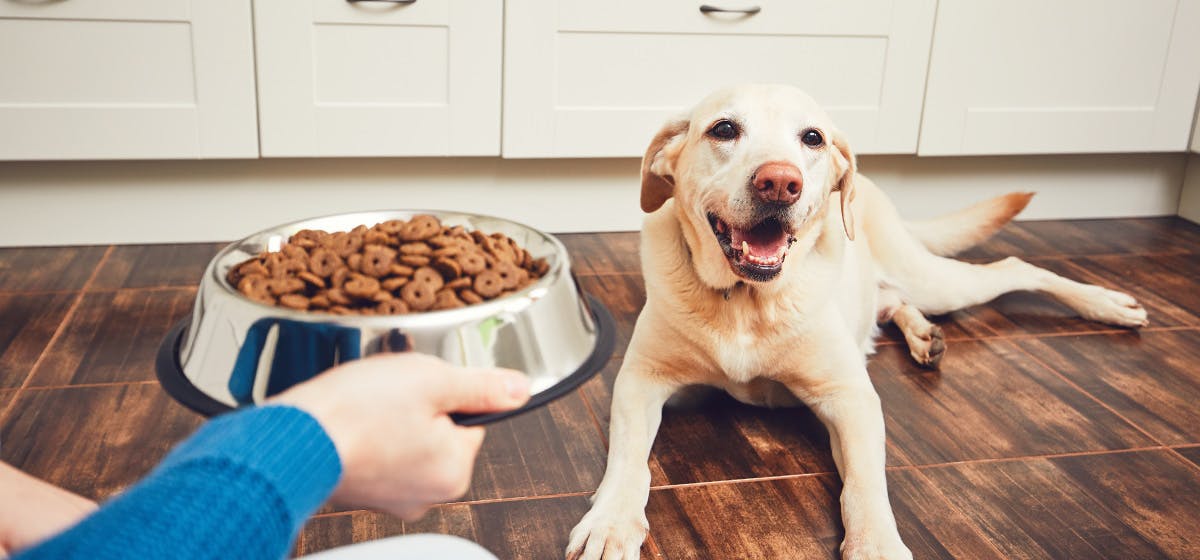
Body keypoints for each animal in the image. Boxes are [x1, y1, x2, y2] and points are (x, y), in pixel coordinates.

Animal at [566, 83, 1147, 560]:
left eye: (813, 138)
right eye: (724, 129)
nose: (780, 182)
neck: (747, 301)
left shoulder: (850, 398)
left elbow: (865, 483)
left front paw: (877, 546)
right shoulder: (641, 381)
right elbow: (629, 461)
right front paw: (611, 523)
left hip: (935, 279)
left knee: (1012, 267)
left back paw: (1108, 305)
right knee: (893, 304)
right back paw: (924, 337)